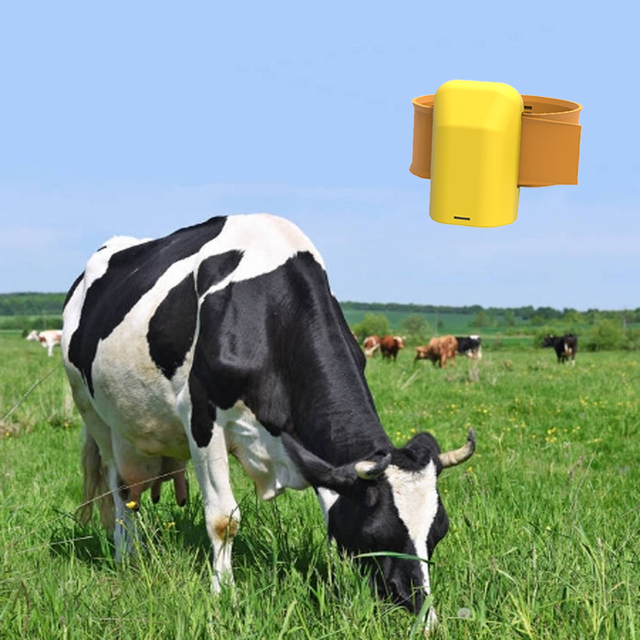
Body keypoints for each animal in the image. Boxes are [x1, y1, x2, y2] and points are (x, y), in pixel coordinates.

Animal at [62, 214, 475, 631]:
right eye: (376, 535)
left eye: (439, 532)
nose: (424, 616)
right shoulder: (201, 417)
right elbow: (223, 519)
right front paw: (223, 594)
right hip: (94, 413)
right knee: (120, 490)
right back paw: (126, 555)